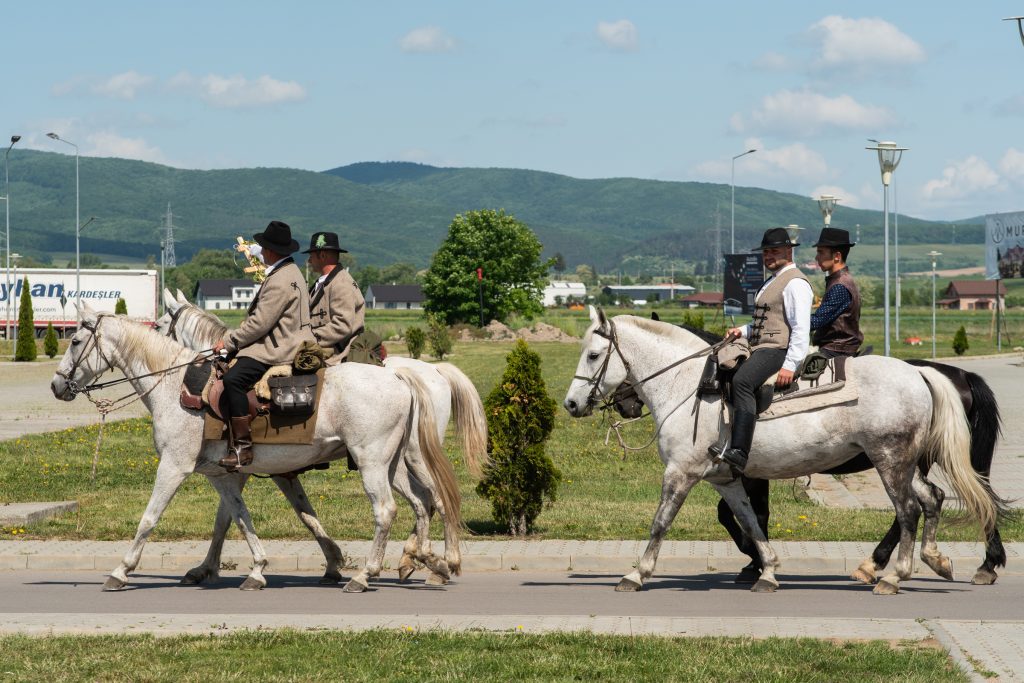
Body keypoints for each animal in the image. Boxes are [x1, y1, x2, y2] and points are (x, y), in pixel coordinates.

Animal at [49, 305, 462, 593]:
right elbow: (238, 518)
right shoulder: (224, 474)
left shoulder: (174, 466)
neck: (173, 385)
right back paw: (428, 562)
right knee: (422, 502)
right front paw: (254, 569)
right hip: (391, 463)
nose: (56, 385)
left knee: (391, 509)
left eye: (74, 341)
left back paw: (369, 574)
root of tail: (400, 377)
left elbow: (150, 518)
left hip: (372, 462)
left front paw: (121, 571)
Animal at [153, 290, 485, 585]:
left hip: (406, 457)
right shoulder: (275, 471)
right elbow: (297, 513)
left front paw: (207, 569)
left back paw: (434, 562)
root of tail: (430, 373)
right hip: (401, 460)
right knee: (428, 500)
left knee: (432, 498)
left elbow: (228, 516)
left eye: (159, 324)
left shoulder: (244, 468)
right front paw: (332, 561)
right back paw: (422, 560)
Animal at [561, 307, 999, 593]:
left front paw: (636, 574)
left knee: (907, 510)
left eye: (594, 355)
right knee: (932, 498)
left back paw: (892, 575)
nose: (571, 404)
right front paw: (767, 571)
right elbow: (750, 522)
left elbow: (661, 522)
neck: (690, 385)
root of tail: (921, 371)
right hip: (906, 464)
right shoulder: (726, 479)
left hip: (890, 462)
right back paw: (936, 560)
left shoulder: (682, 473)